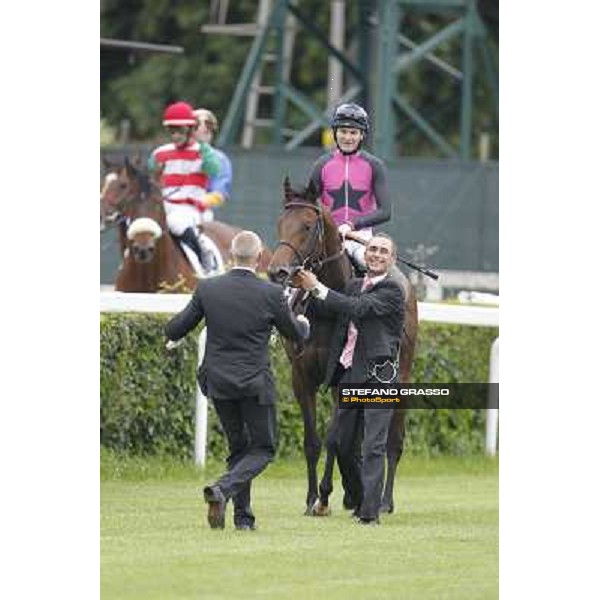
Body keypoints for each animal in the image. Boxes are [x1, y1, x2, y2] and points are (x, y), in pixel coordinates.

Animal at [268, 178, 418, 516]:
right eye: (280, 223)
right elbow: (313, 441)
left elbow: (335, 439)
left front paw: (325, 497)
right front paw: (312, 498)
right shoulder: (301, 377)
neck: (327, 309)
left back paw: (384, 501)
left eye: (307, 226)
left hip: (400, 377)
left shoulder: (342, 378)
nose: (277, 272)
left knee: (393, 441)